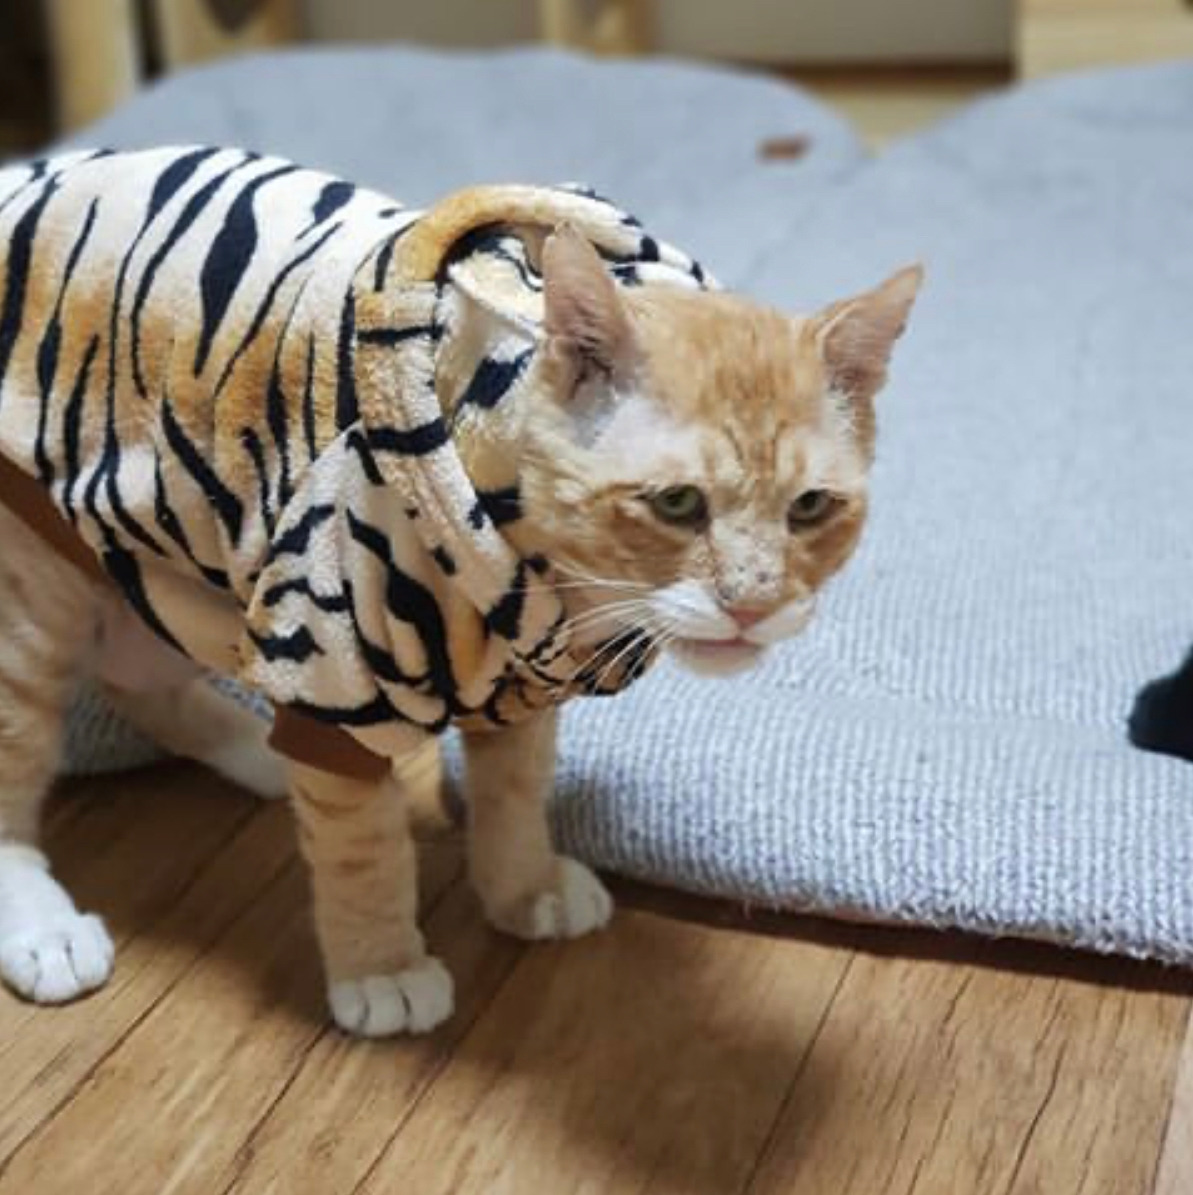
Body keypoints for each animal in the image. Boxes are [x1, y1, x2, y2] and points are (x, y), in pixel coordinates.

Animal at [0, 146, 919, 1035]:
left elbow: (513, 794)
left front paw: (523, 886)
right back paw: (46, 927)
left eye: (810, 508)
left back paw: (256, 747)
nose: (753, 601)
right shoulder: (329, 656)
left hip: (154, 565)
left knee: (136, 677)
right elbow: (364, 849)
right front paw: (381, 966)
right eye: (676, 503)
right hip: (32, 607)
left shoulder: (517, 688)